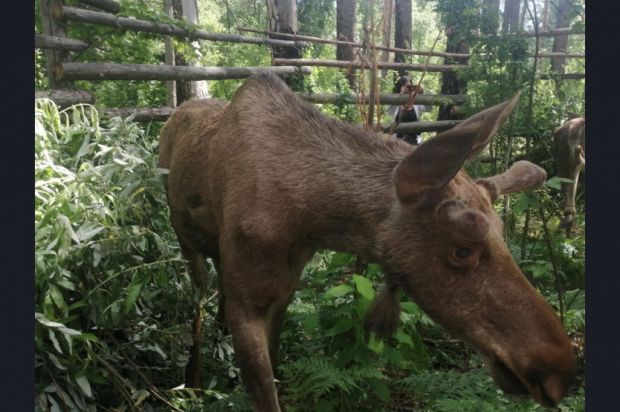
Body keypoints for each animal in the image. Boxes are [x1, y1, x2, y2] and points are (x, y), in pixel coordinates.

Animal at [160, 75, 576, 412]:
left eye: (502, 233)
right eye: (461, 250)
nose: (558, 367)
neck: (307, 221)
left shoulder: (284, 289)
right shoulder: (247, 305)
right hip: (184, 238)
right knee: (198, 298)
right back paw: (192, 377)